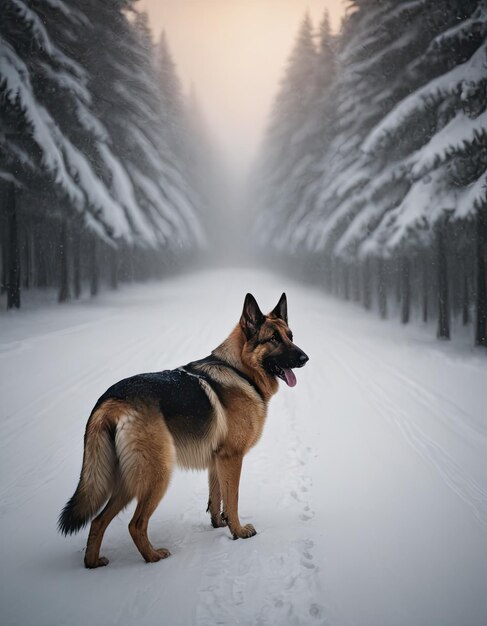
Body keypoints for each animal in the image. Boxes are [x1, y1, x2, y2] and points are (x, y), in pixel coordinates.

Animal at [58, 292, 308, 564]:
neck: (240, 370)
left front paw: (219, 524)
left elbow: (217, 497)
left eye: (290, 336)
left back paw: (93, 563)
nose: (305, 358)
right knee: (135, 524)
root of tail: (111, 399)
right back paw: (153, 556)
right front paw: (239, 532)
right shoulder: (232, 458)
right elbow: (233, 499)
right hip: (157, 475)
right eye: (274, 339)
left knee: (98, 521)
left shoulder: (217, 461)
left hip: (128, 481)